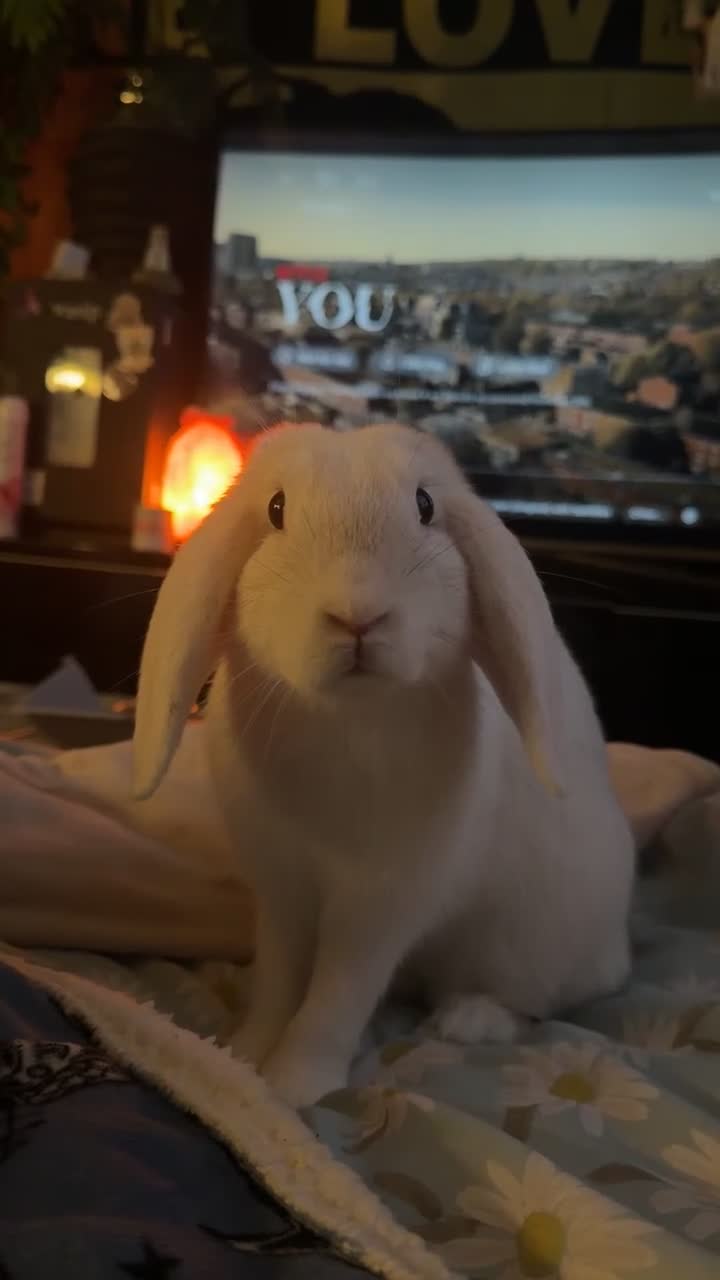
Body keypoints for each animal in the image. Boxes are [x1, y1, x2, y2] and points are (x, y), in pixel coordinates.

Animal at [133, 422, 635, 1108]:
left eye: (425, 506)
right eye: (276, 509)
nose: (358, 616)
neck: (347, 716)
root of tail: (617, 947)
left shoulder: (380, 907)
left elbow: (335, 999)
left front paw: (295, 1086)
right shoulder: (282, 891)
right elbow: (279, 982)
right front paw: (244, 1055)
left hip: (527, 942)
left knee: (531, 999)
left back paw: (468, 1021)